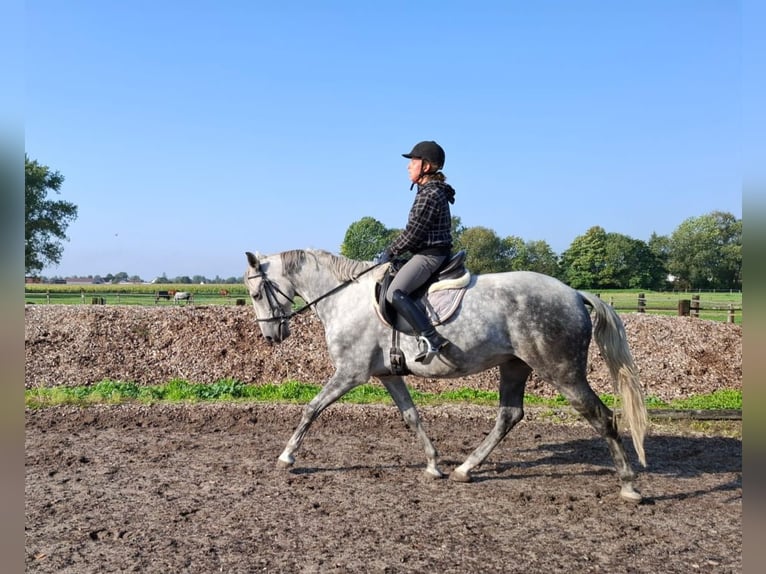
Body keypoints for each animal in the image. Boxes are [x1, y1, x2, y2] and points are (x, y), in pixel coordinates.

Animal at [244, 250, 648, 502]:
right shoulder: (387, 374)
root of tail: (575, 294)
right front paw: (434, 464)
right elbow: (411, 416)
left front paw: (287, 457)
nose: (271, 336)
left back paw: (629, 487)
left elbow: (311, 408)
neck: (344, 297)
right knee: (509, 415)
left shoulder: (350, 373)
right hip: (515, 365)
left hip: (561, 371)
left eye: (256, 292)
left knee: (602, 417)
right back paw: (465, 469)